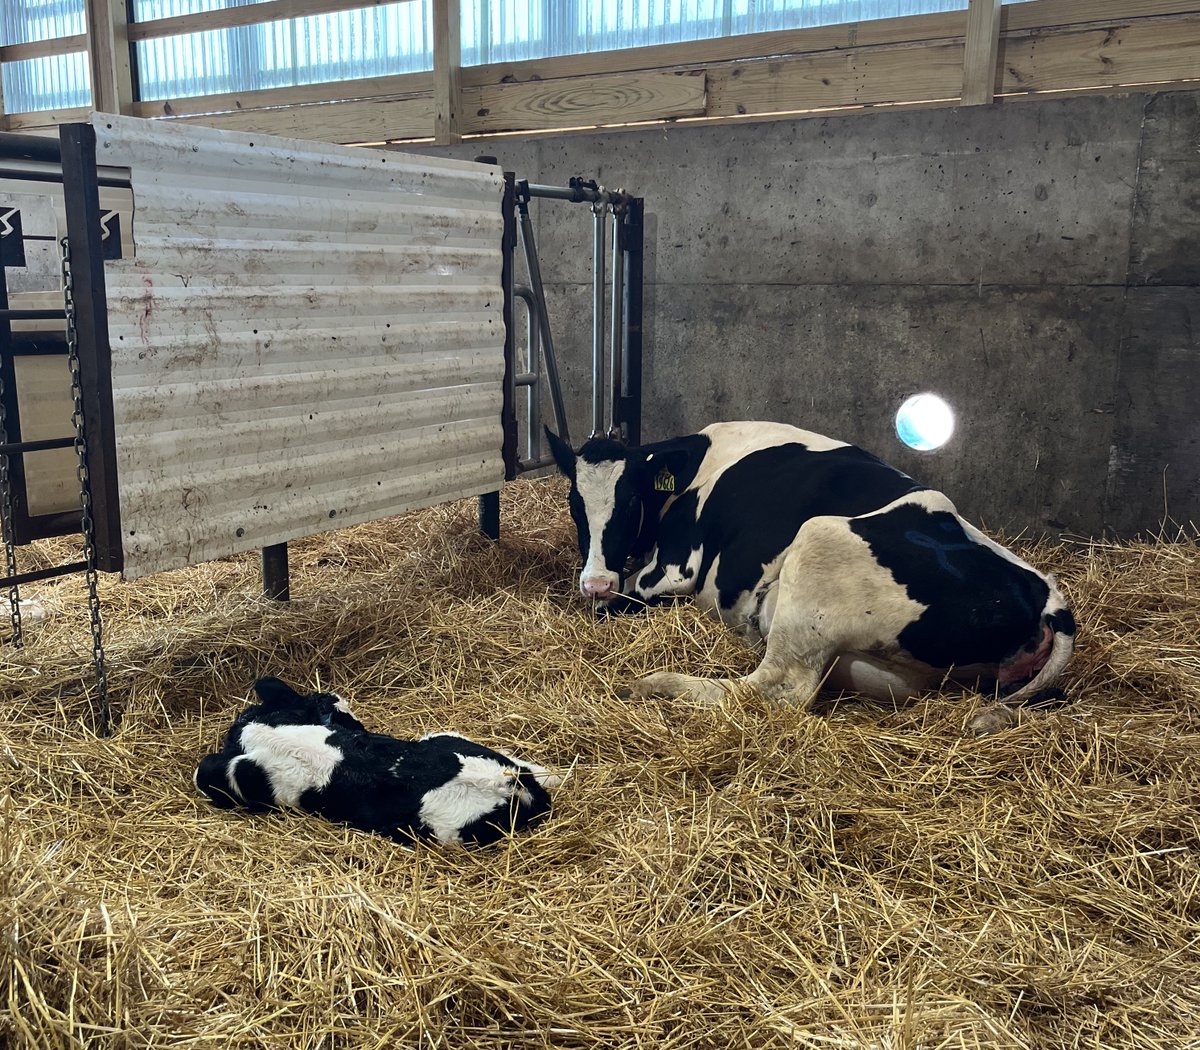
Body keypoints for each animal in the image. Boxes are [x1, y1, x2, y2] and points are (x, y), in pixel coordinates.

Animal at [546, 420, 1075, 729]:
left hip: (818, 544)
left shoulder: (673, 570)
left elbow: (614, 606)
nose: (596, 582)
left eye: (630, 500)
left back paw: (653, 684)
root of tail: (1047, 596)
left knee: (772, 688)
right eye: (574, 501)